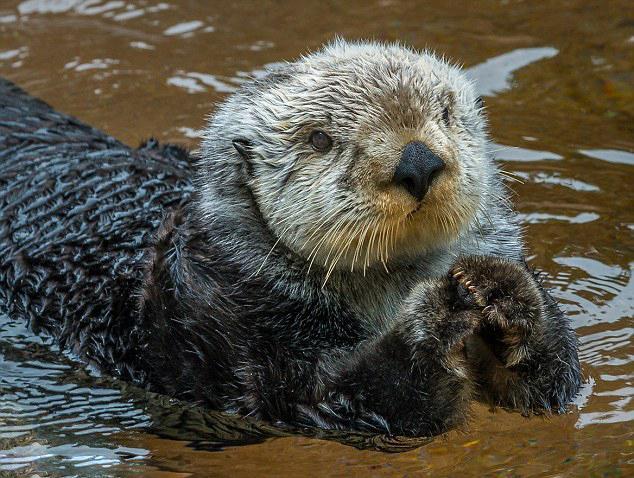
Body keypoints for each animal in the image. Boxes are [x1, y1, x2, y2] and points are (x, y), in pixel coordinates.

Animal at [0, 41, 576, 436]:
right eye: (319, 139)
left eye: (446, 114)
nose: (418, 161)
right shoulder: (218, 322)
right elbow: (324, 401)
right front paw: (437, 319)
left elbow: (556, 385)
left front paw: (505, 290)